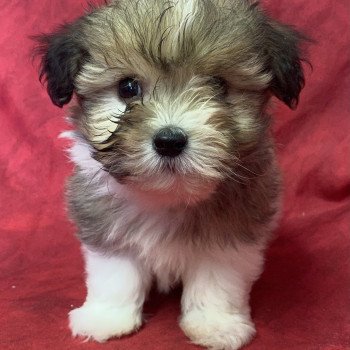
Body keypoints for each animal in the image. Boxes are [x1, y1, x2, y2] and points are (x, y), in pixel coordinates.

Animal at [36, 1, 304, 348]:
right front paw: (107, 317)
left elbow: (217, 279)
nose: (169, 141)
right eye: (127, 87)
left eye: (219, 85)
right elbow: (115, 274)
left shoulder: (232, 232)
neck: (168, 194)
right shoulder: (105, 222)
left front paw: (215, 324)